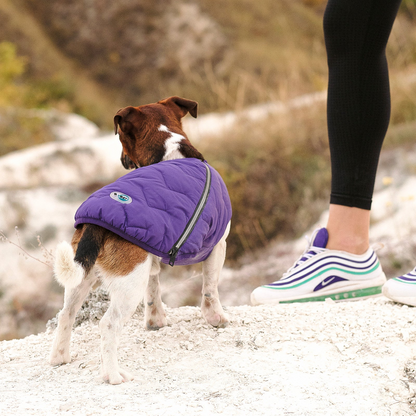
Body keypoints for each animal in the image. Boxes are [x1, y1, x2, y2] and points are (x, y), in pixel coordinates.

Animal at [49, 96, 231, 384]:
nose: (122, 160)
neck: (170, 151)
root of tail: (95, 224)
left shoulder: (152, 254)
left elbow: (154, 291)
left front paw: (156, 321)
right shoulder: (217, 246)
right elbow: (210, 288)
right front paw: (216, 318)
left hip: (83, 276)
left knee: (66, 314)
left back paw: (60, 358)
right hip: (129, 283)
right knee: (108, 324)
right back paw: (113, 375)